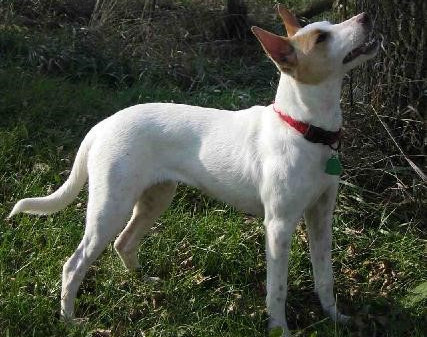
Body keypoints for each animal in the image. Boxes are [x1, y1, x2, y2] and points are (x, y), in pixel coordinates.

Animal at [9, 5, 378, 336]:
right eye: (321, 38)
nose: (366, 16)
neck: (302, 127)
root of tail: (103, 125)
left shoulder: (321, 216)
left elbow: (325, 276)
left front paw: (335, 317)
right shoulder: (279, 225)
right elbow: (278, 289)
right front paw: (279, 330)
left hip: (156, 197)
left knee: (124, 243)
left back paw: (143, 282)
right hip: (110, 207)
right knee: (74, 264)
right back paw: (69, 319)